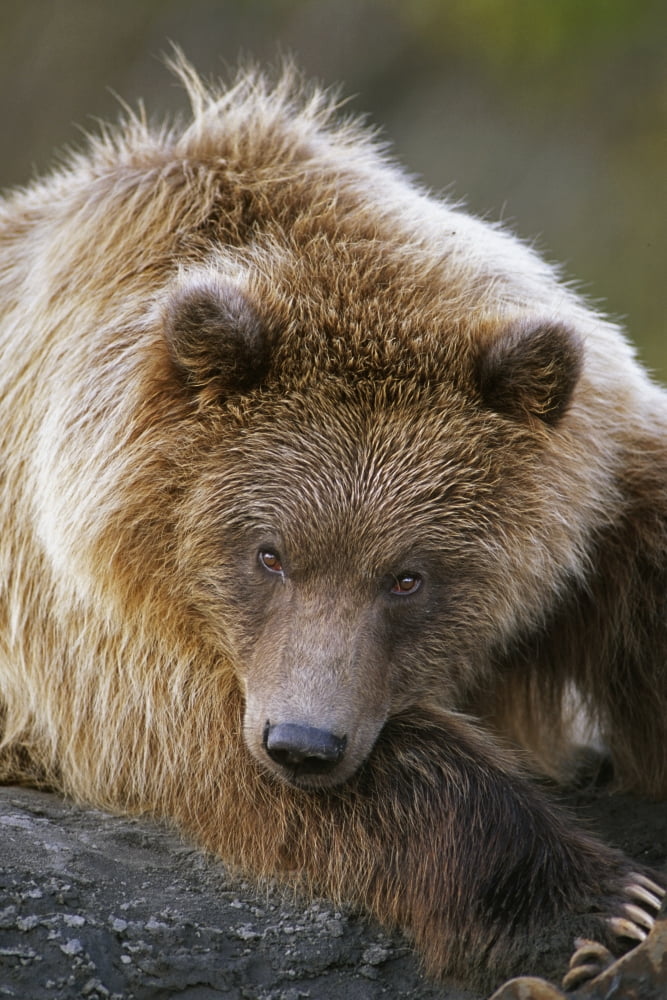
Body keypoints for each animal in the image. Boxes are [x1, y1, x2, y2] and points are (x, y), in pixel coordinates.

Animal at [0, 57, 665, 991]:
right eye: (268, 553)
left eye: (409, 575)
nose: (304, 743)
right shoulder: (91, 608)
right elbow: (200, 740)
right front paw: (599, 908)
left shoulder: (601, 491)